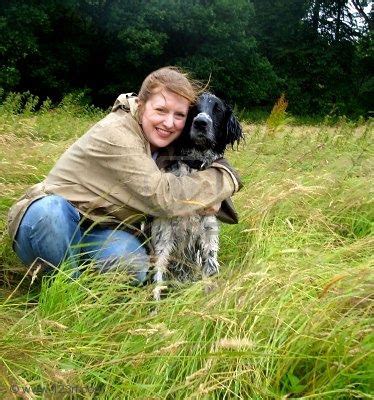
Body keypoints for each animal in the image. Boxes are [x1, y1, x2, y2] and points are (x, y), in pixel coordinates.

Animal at [151, 93, 243, 300]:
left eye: (217, 109)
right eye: (193, 107)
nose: (201, 122)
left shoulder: (208, 235)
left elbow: (210, 269)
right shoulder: (163, 236)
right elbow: (157, 279)